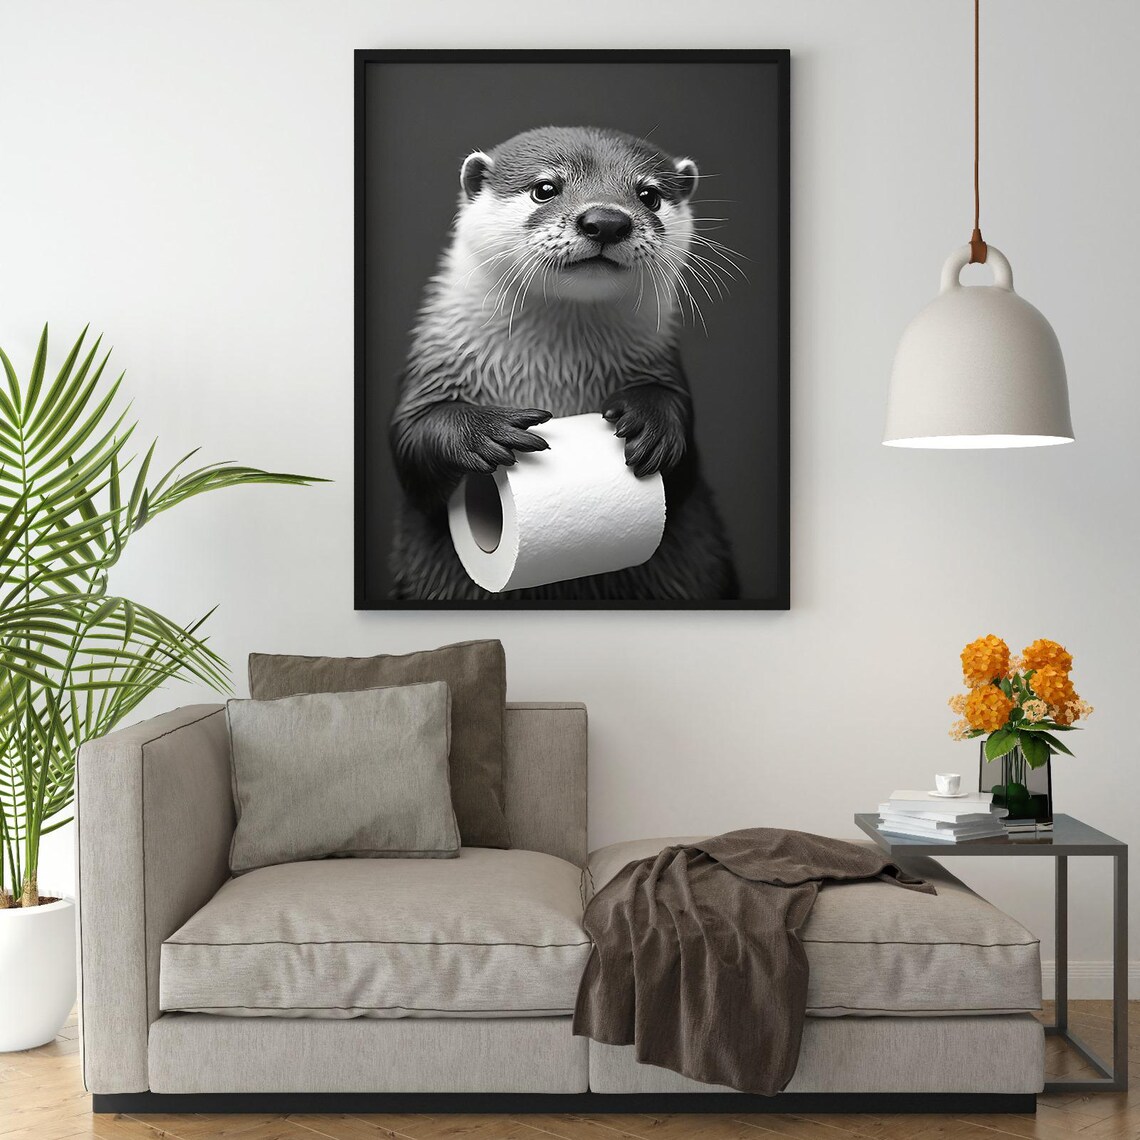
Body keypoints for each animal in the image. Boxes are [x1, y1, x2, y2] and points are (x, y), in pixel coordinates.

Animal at [388, 125, 738, 602]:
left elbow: (681, 459)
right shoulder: (436, 362)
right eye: (544, 188)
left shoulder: (664, 367)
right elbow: (412, 439)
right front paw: (486, 432)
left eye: (649, 194)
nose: (606, 220)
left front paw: (652, 422)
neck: (554, 368)